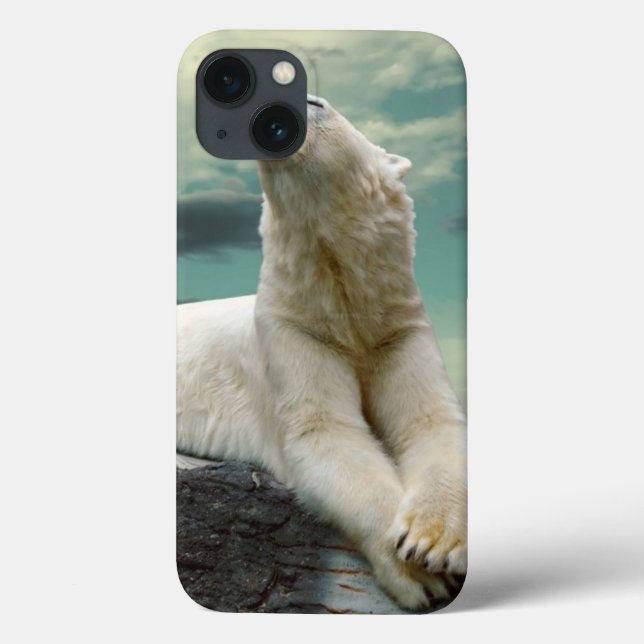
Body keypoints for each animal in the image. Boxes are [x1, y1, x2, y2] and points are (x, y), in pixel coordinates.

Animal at [176, 96, 467, 610]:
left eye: (315, 102)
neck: (342, 300)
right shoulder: (294, 329)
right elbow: (325, 433)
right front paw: (417, 570)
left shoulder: (398, 328)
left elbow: (431, 420)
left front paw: (432, 540)